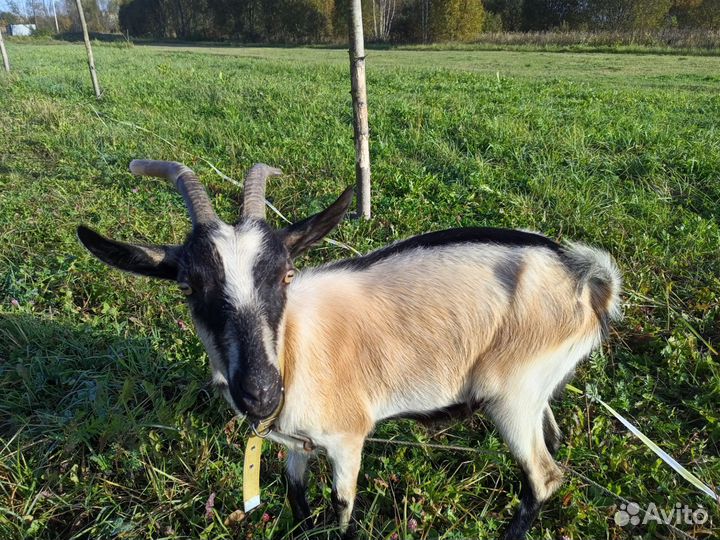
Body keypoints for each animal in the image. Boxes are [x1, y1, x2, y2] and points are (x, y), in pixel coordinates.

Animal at [77, 160, 622, 539]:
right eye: (188, 287)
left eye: (286, 274)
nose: (260, 394)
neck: (295, 349)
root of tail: (583, 277)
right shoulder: (295, 444)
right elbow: (297, 496)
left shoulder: (347, 438)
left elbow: (341, 510)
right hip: (534, 390)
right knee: (552, 441)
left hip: (510, 396)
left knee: (542, 477)